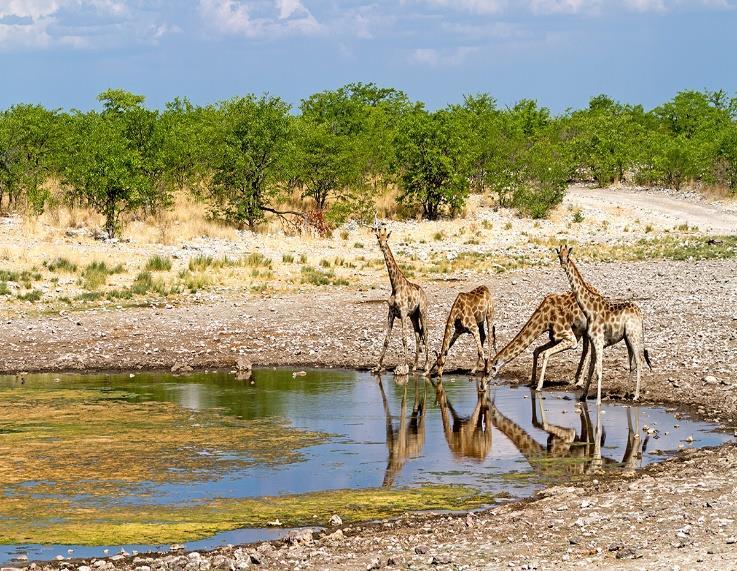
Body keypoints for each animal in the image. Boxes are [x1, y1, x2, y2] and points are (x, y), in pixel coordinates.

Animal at [370, 223, 428, 376]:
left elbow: (404, 338)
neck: (395, 286)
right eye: (378, 238)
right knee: (418, 334)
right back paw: (415, 366)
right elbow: (386, 339)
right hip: (414, 315)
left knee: (425, 333)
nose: (382, 246)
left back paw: (426, 367)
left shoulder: (402, 313)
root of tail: (424, 293)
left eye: (386, 238)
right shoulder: (391, 313)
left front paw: (404, 366)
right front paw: (377, 366)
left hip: (422, 312)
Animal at [556, 246, 652, 406]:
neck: (588, 310)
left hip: (633, 335)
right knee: (632, 363)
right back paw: (626, 393)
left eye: (567, 256)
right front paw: (583, 396)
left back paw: (636, 396)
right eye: (559, 256)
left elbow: (599, 371)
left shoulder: (599, 341)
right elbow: (591, 368)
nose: (563, 264)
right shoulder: (594, 342)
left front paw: (598, 401)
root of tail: (640, 315)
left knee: (639, 361)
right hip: (627, 338)